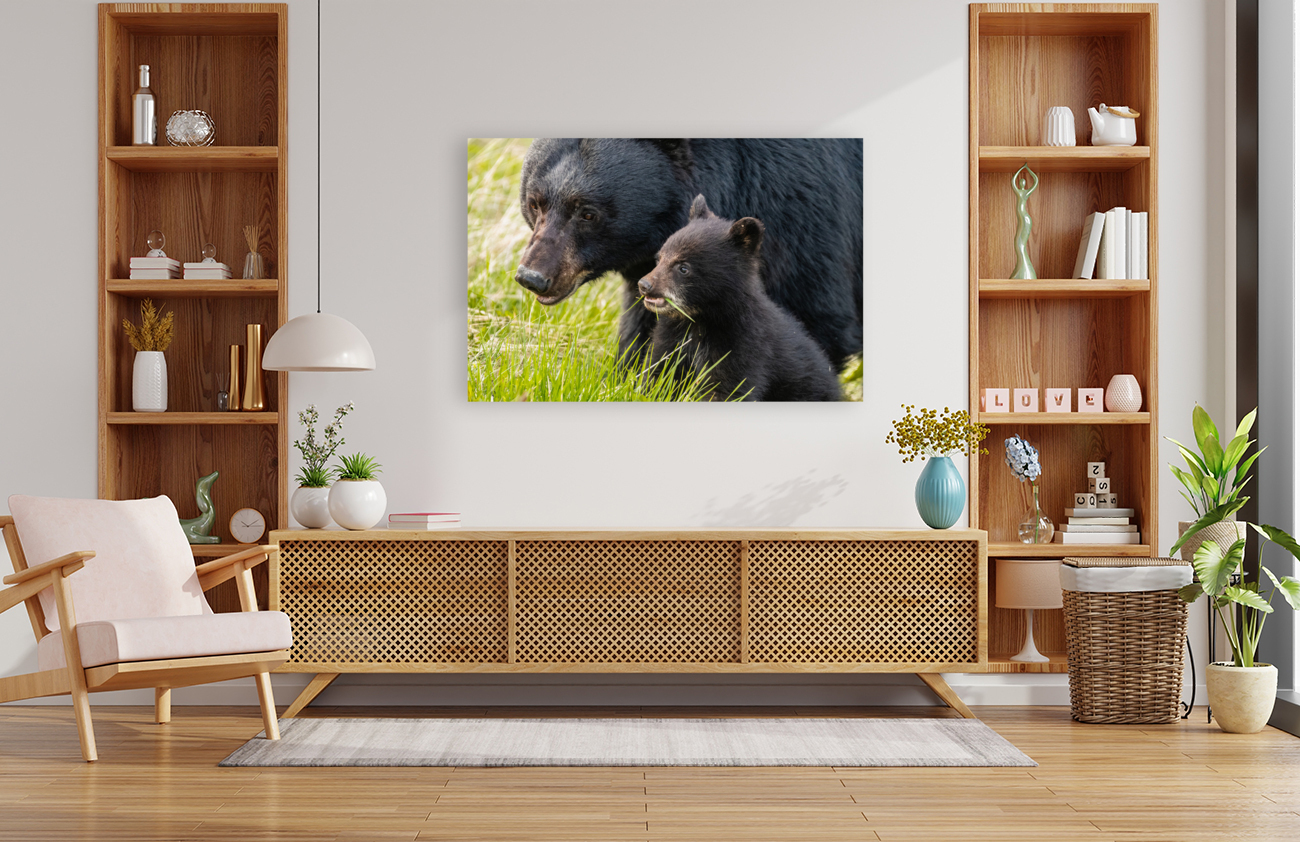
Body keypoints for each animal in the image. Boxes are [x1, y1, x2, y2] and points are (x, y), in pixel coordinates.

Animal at [514, 138, 862, 371]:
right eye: (535, 203)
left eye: (588, 213)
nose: (532, 277)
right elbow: (647, 326)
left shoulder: (803, 219)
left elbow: (814, 322)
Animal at [636, 195, 842, 402]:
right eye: (659, 258)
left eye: (683, 267)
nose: (644, 285)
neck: (700, 319)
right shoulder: (671, 336)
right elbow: (658, 372)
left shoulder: (743, 343)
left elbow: (728, 388)